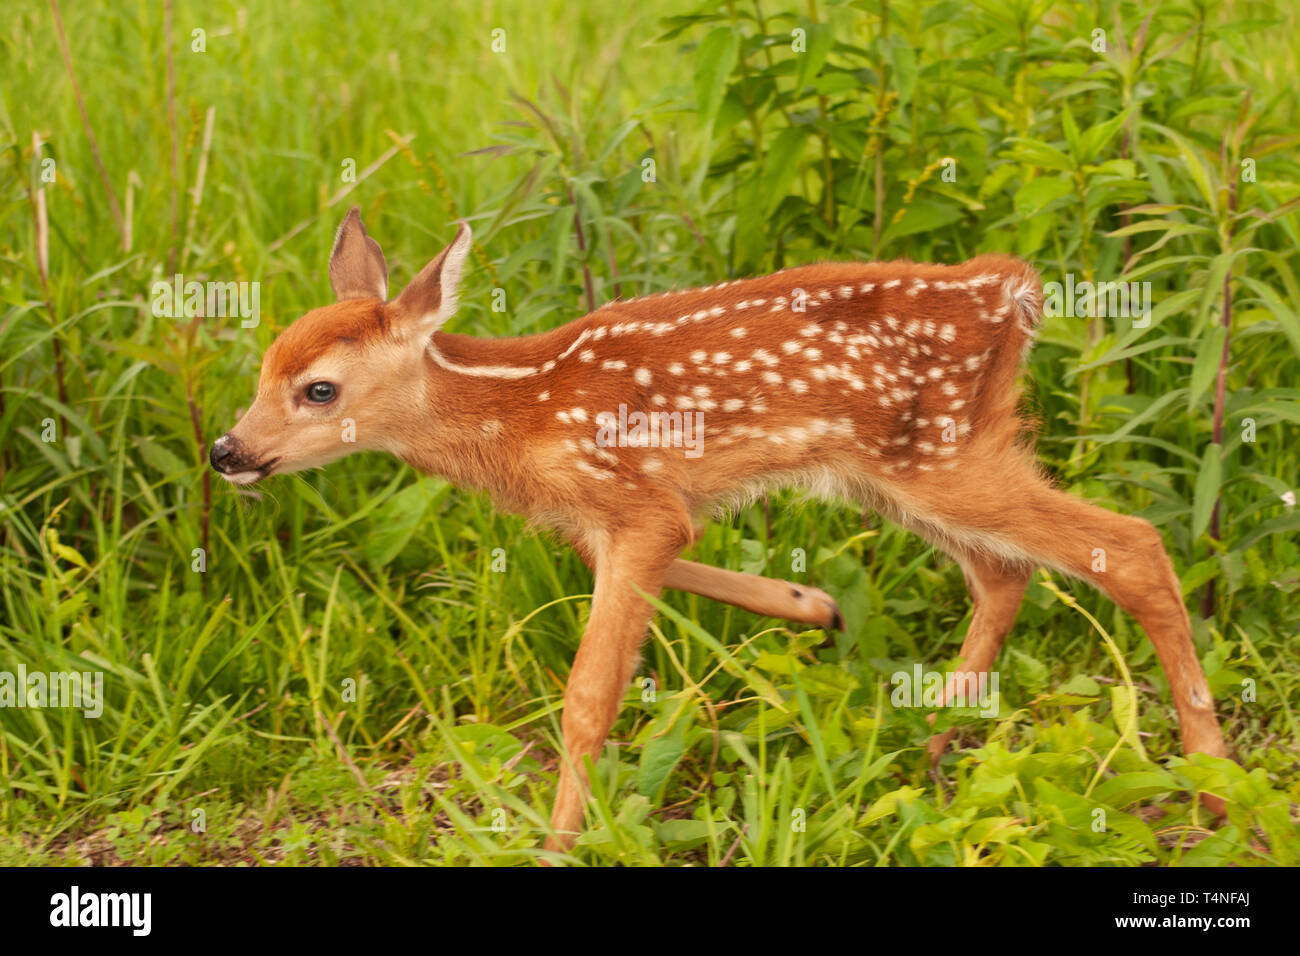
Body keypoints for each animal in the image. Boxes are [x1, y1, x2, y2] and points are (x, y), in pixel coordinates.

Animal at [210, 208, 1228, 854]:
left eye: (320, 390)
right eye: (262, 368)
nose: (228, 451)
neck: (521, 415)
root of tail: (1010, 289)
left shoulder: (631, 497)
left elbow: (588, 698)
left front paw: (557, 843)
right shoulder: (619, 517)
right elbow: (686, 561)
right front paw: (811, 604)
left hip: (939, 457)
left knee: (1130, 544)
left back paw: (1216, 788)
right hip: (908, 466)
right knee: (1005, 574)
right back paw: (931, 747)